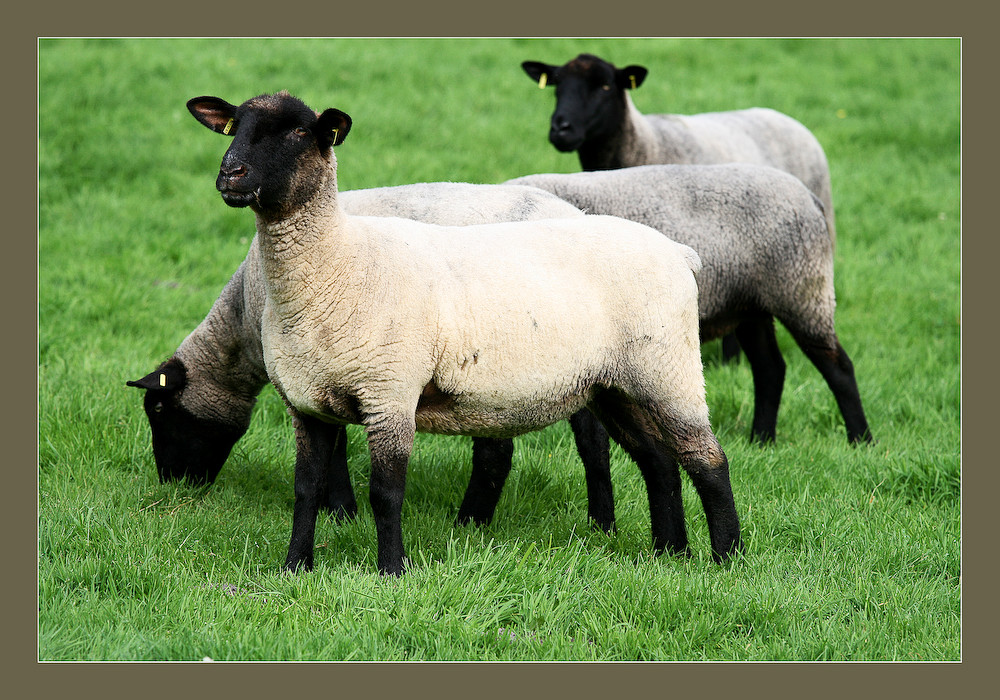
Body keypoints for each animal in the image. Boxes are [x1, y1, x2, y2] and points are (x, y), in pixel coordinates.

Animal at [127, 180, 616, 532]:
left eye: (159, 410)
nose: (173, 485)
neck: (244, 318)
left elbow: (338, 443)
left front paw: (341, 511)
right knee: (593, 441)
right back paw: (599, 524)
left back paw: (473, 523)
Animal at [184, 91, 740, 576]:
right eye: (235, 127)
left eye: (300, 133)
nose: (230, 173)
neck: (339, 263)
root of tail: (679, 252)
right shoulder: (307, 404)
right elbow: (307, 489)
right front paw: (295, 567)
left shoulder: (390, 392)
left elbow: (386, 493)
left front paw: (392, 570)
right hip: (613, 382)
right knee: (659, 463)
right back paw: (671, 553)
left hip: (668, 369)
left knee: (708, 460)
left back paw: (725, 559)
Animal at [504, 167, 872, 446]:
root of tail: (809, 196)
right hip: (750, 305)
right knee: (770, 368)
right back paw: (762, 439)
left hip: (802, 288)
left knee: (837, 366)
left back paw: (860, 439)